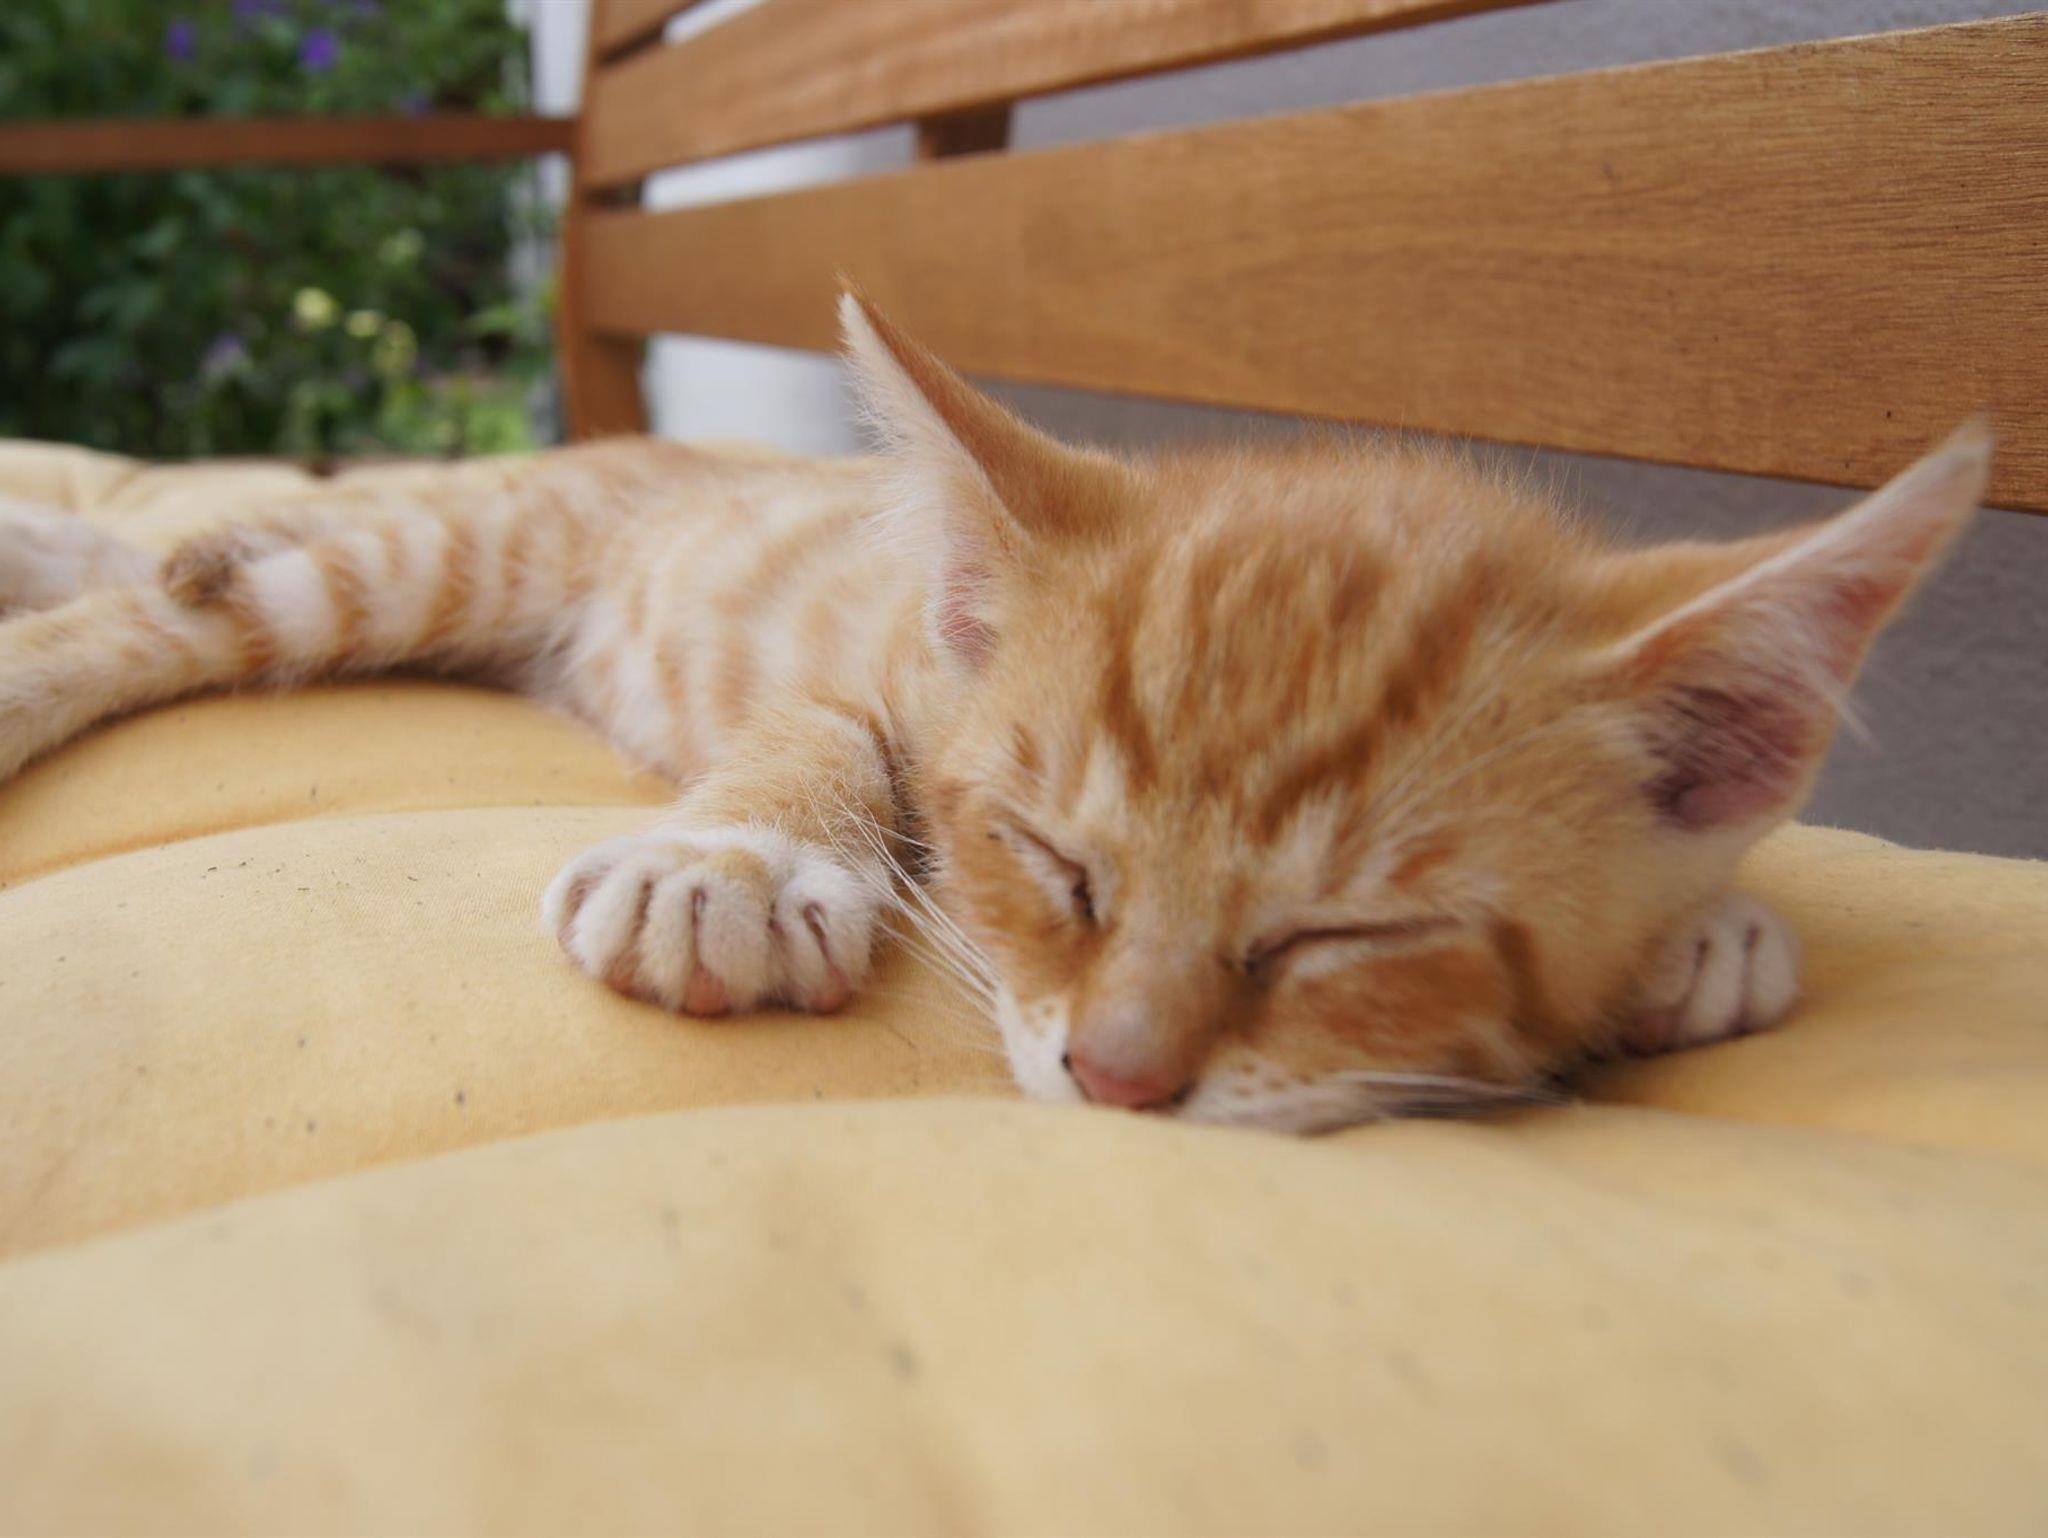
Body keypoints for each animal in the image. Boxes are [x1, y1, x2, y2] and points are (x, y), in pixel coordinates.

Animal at [0, 294, 1988, 1132]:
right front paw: (732, 862)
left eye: (1341, 935)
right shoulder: (883, 659)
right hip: (433, 557)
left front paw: (1701, 930)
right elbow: (821, 728)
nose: (1117, 1079)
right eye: (1054, 862)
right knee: (195, 592)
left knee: (201, 550)